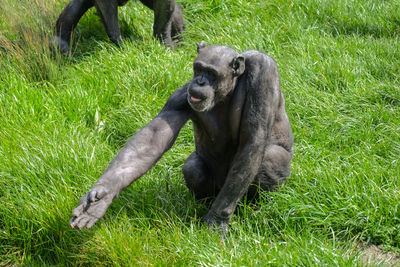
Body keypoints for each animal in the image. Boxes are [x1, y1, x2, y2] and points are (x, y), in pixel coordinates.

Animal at [69, 42, 294, 234]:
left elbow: (253, 140)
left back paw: (253, 210)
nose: (200, 81)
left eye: (211, 73)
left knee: (269, 158)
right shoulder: (178, 97)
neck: (228, 90)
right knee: (193, 167)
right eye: (198, 68)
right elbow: (151, 140)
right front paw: (101, 197)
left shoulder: (264, 72)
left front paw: (216, 221)